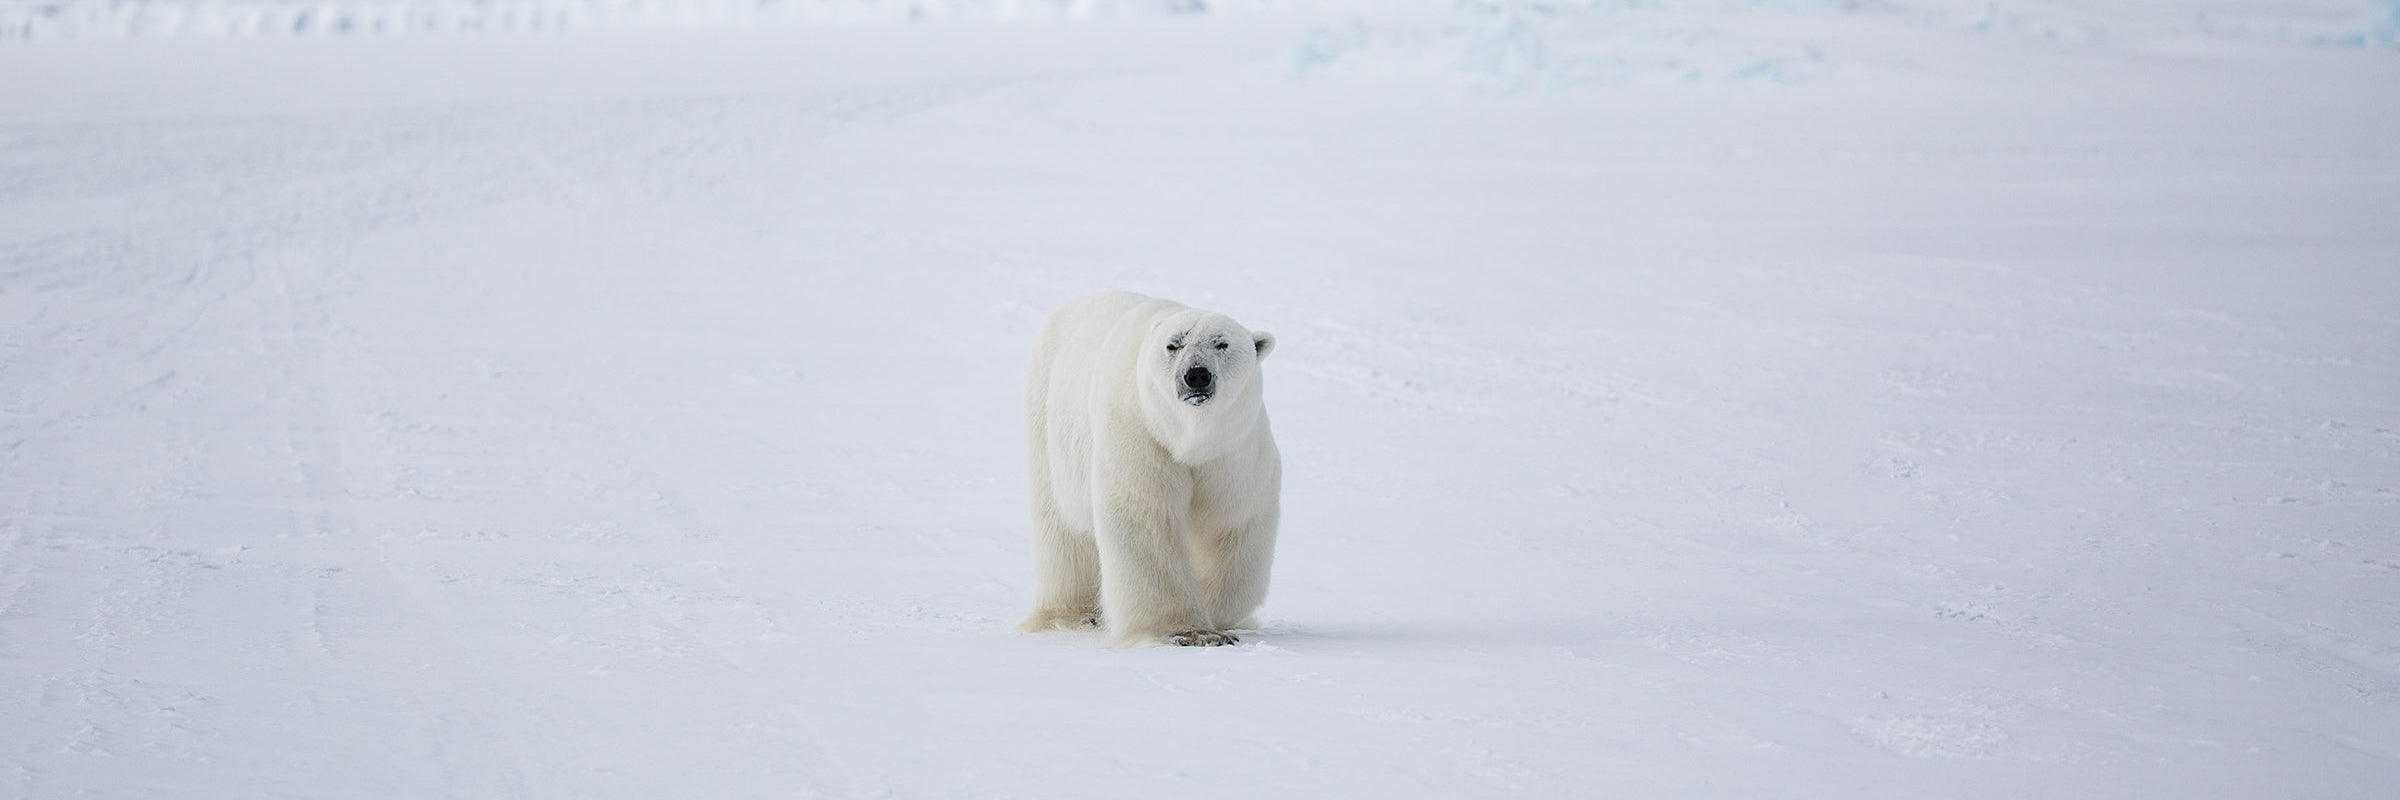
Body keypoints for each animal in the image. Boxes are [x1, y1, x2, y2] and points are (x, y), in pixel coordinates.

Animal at [1017, 291, 1281, 647]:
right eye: (1174, 344)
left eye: (1221, 343)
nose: (1196, 375)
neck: (1186, 436)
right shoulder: (1140, 432)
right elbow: (1145, 516)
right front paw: (1189, 631)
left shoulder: (1233, 451)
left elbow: (1229, 521)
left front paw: (1219, 620)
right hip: (1047, 416)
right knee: (1062, 527)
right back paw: (1073, 615)